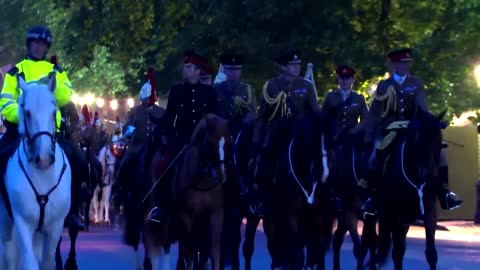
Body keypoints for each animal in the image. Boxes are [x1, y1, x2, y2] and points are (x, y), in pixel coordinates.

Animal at [0, 75, 72, 270]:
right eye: (27, 113)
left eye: (53, 112)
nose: (44, 157)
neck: (43, 177)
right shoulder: (22, 223)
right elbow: (29, 263)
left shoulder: (55, 227)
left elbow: (47, 261)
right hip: (6, 221)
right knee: (8, 254)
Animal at [174, 114, 232, 270]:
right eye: (209, 143)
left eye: (228, 143)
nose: (220, 175)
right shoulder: (185, 214)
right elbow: (189, 249)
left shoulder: (216, 213)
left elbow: (214, 251)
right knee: (185, 244)